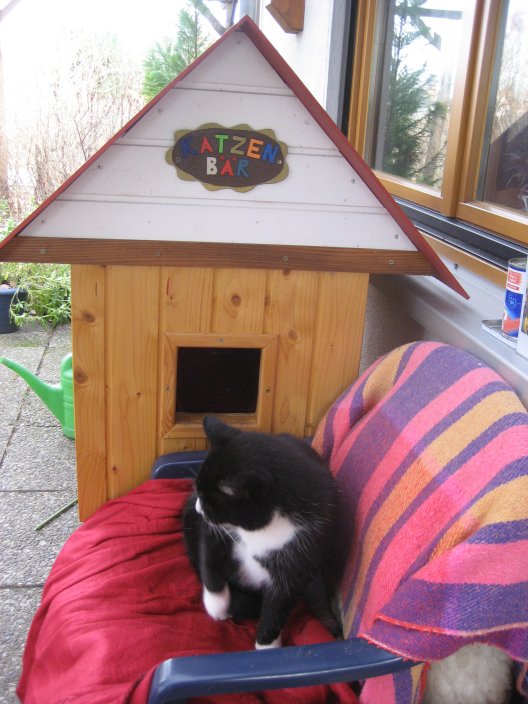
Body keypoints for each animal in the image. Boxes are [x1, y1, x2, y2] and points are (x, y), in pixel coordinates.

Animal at [183, 415, 346, 649]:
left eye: (209, 502)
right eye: (199, 492)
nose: (198, 507)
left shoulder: (300, 556)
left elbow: (278, 606)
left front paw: (266, 647)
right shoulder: (215, 530)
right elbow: (209, 557)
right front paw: (216, 604)